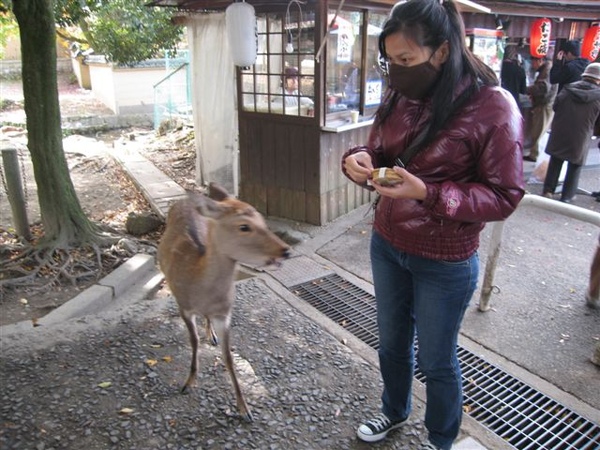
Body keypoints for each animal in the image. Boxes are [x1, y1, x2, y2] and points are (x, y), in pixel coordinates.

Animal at [158, 181, 292, 420]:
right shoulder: (185, 307)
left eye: (262, 219)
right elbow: (193, 341)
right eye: (244, 226)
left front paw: (244, 409)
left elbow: (228, 356)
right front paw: (188, 382)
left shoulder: (225, 313)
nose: (286, 250)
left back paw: (211, 334)